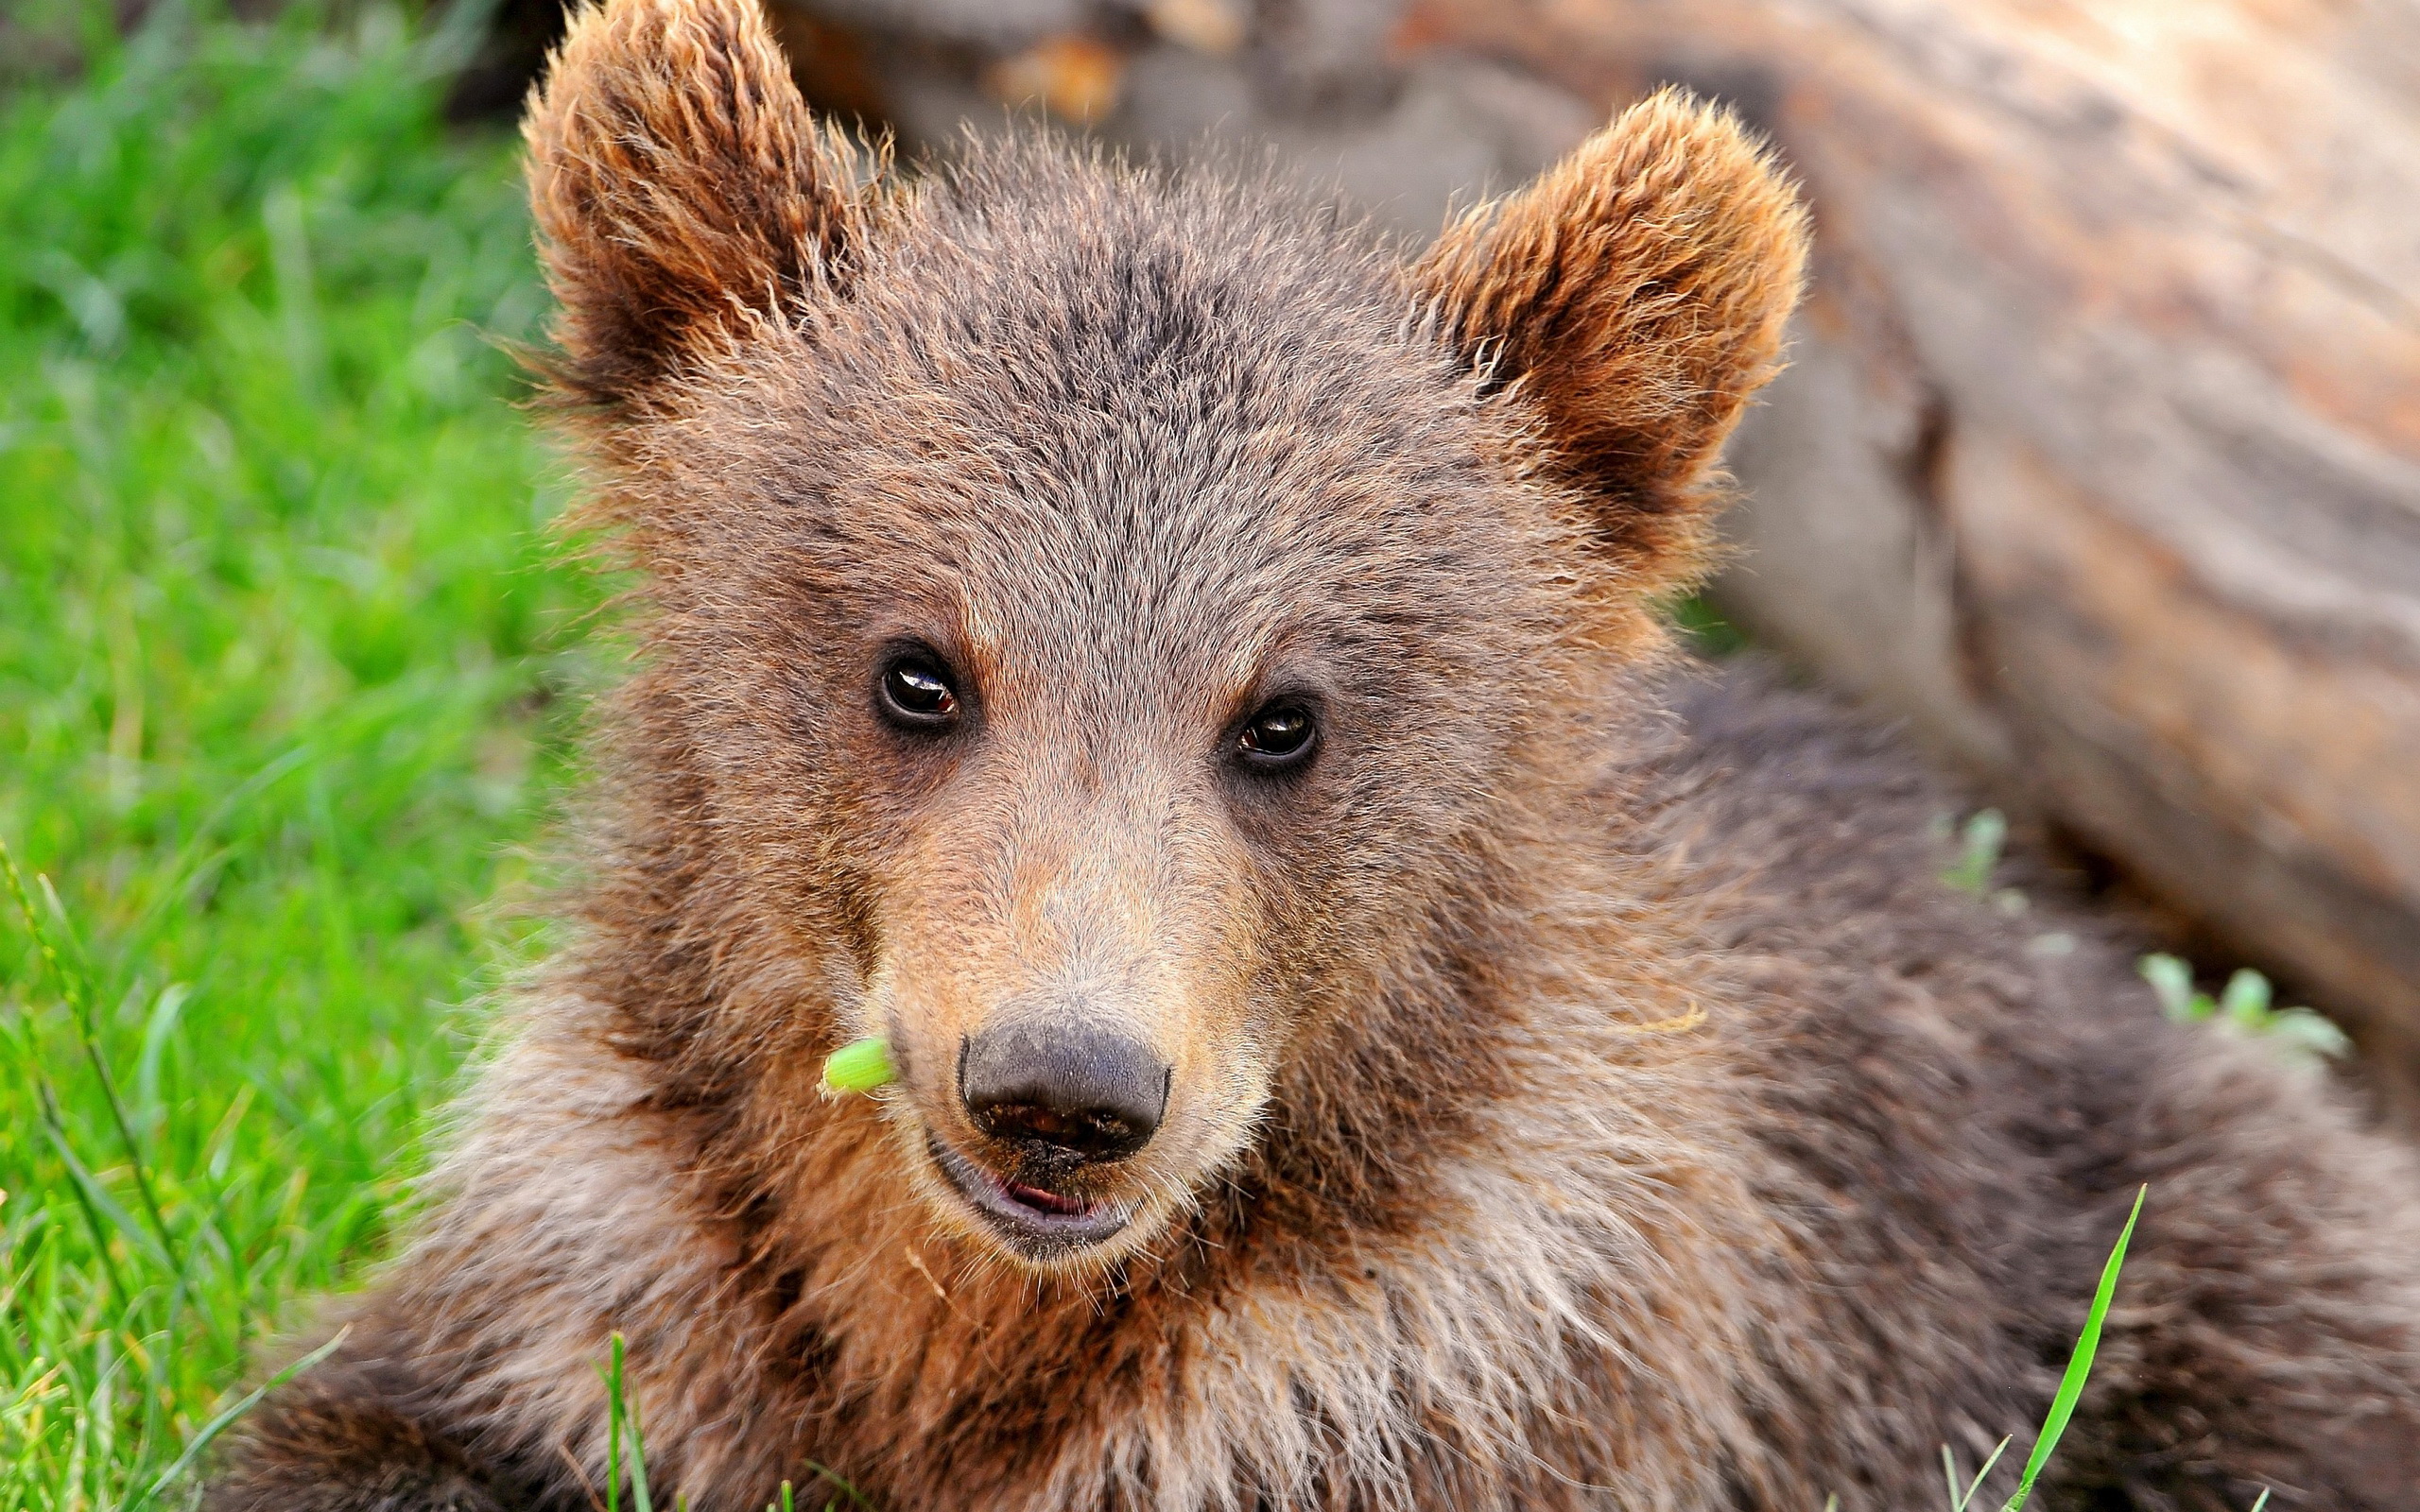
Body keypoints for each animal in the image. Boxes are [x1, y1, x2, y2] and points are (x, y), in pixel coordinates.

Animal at [208, 0, 2420, 1500]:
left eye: (1283, 714)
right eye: (917, 670)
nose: (1063, 1091)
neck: (969, 1332)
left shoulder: (1448, 1367)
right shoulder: (614, 1271)